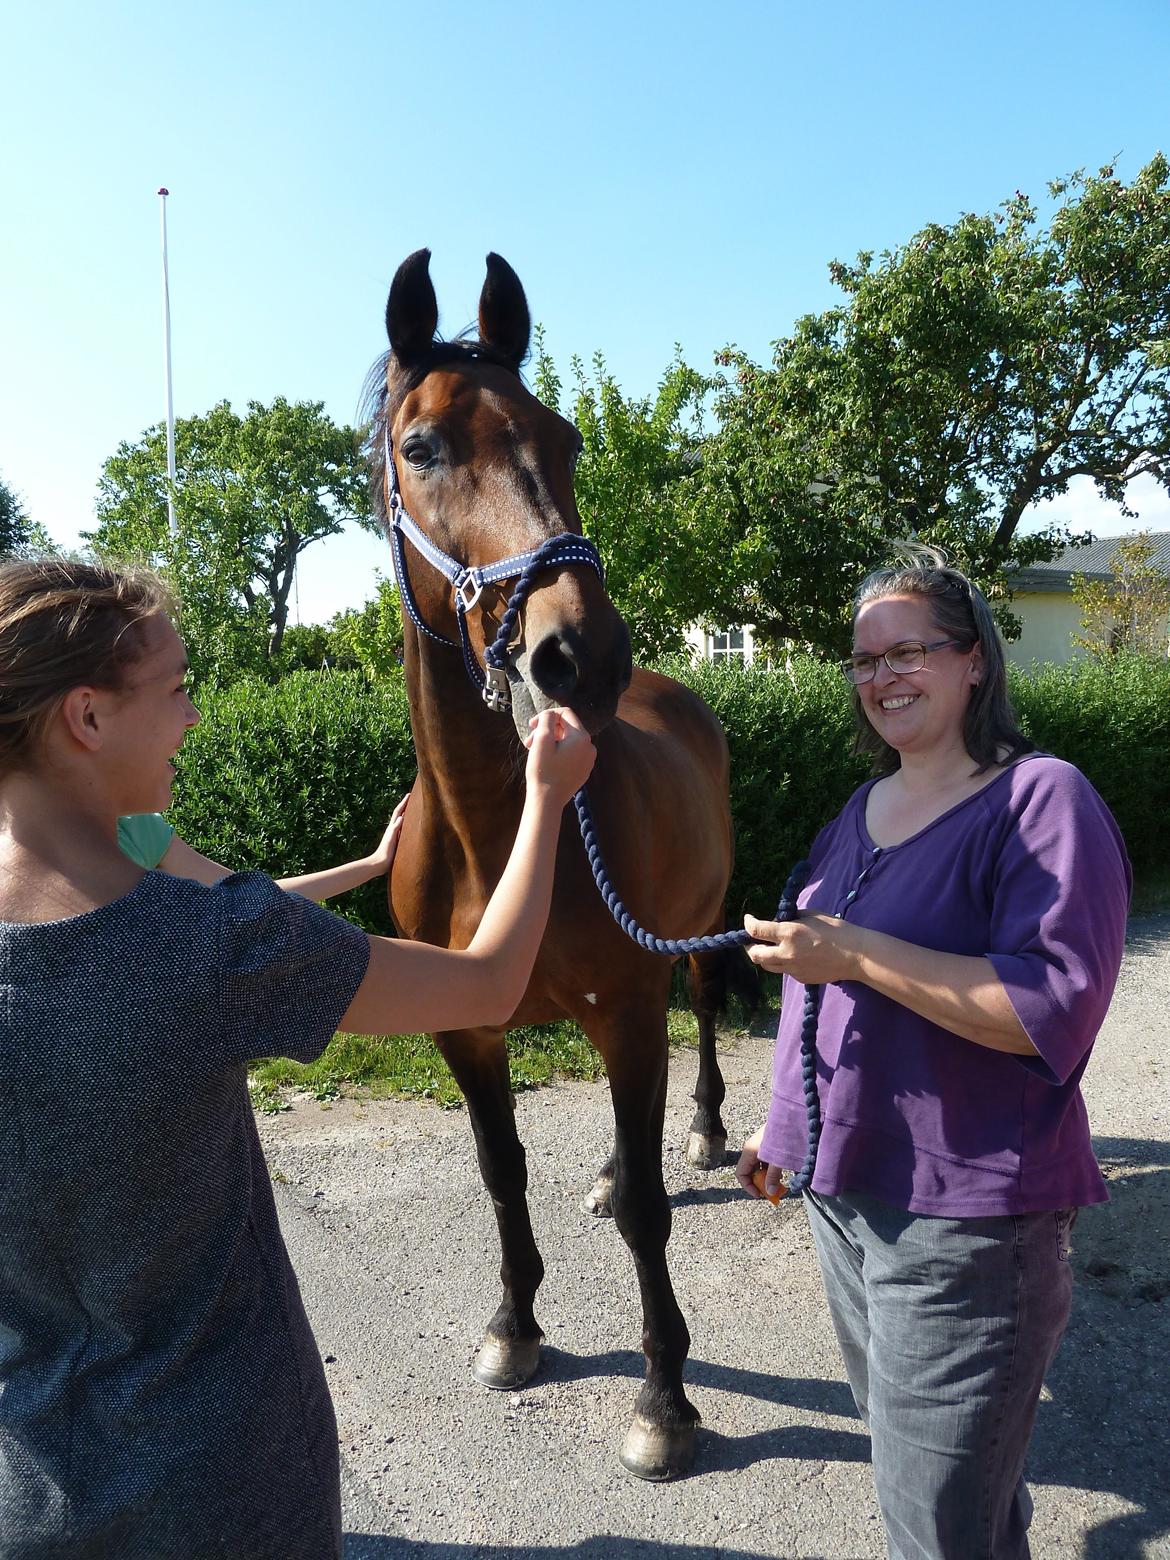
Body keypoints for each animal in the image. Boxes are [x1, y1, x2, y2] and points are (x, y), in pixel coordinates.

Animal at [371, 249, 745, 1478]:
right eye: (422, 446)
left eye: (567, 437)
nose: (581, 652)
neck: (499, 838)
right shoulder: (467, 1032)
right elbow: (502, 1175)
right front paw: (513, 1325)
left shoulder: (626, 1007)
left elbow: (650, 1217)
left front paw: (664, 1400)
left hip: (687, 941)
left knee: (702, 1013)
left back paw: (705, 1128)